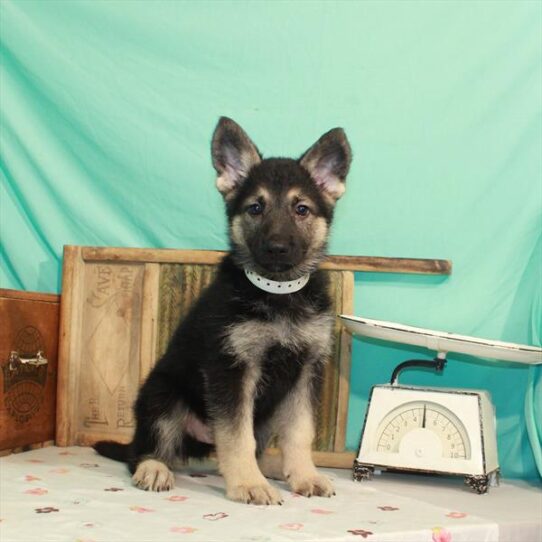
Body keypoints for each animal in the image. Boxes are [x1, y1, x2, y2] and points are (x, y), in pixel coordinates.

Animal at [95, 118, 354, 506]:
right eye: (256, 208)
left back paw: (275, 468)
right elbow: (235, 436)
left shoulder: (306, 371)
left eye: (302, 209)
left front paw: (304, 475)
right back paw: (154, 467)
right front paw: (248, 483)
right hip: (162, 397)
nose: (277, 248)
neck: (277, 292)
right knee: (144, 451)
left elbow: (299, 432)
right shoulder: (231, 368)